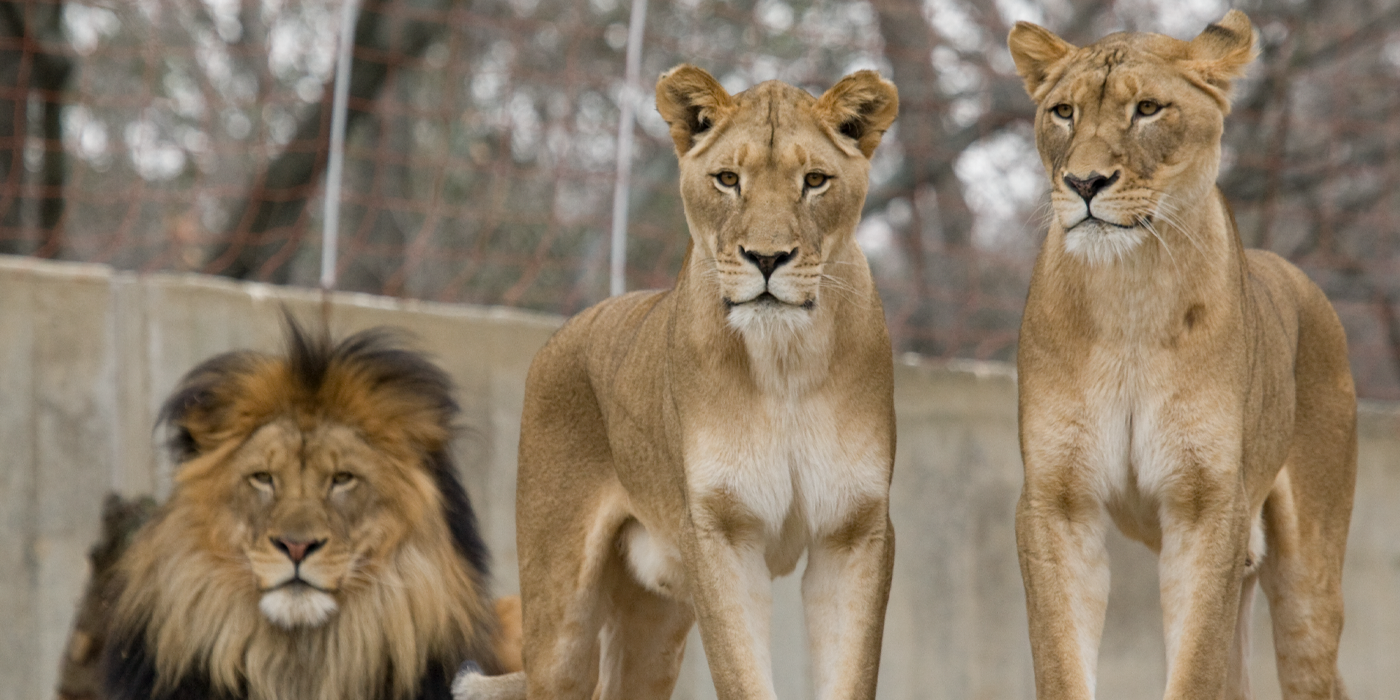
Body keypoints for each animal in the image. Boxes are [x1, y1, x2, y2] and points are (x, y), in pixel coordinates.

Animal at [453, 63, 901, 697]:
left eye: (815, 180)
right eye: (727, 179)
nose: (768, 258)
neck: (783, 361)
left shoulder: (854, 532)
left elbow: (850, 675)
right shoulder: (720, 532)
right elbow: (743, 677)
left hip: (654, 618)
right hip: (558, 621)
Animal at [1008, 9, 1355, 700]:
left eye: (1147, 108)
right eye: (1063, 112)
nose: (1084, 182)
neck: (1131, 292)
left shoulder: (1207, 509)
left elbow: (1194, 667)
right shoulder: (1056, 503)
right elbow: (1060, 660)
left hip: (1309, 587)